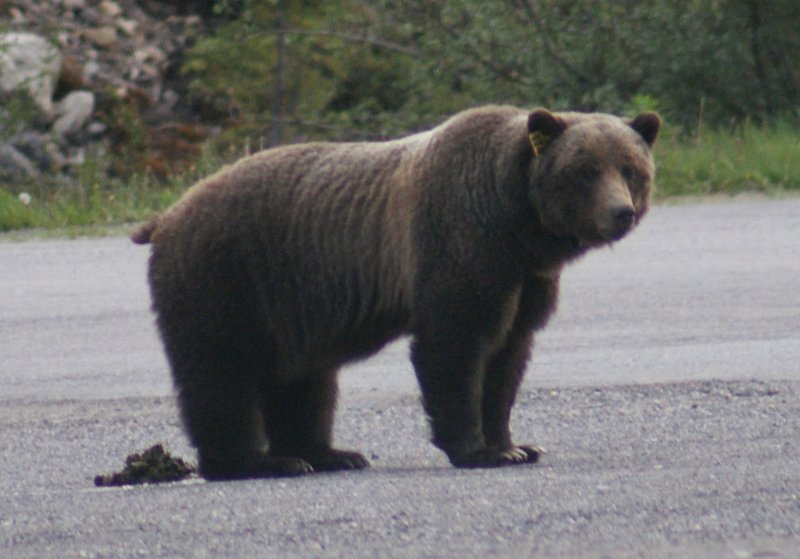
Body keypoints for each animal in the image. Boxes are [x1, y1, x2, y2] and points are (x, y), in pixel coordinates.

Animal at [133, 106, 664, 482]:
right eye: (586, 170)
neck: (516, 223)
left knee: (304, 380)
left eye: (630, 168)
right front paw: (477, 449)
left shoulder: (527, 278)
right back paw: (258, 461)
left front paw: (514, 444)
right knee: (221, 373)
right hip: (226, 277)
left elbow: (508, 356)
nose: (620, 213)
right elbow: (455, 343)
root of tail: (166, 216)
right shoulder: (458, 243)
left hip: (291, 304)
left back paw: (328, 453)